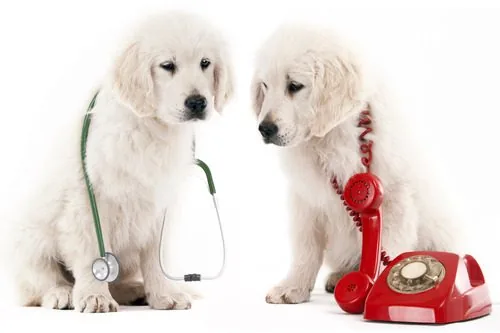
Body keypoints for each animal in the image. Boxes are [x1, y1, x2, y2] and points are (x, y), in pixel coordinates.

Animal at [11, 10, 234, 312]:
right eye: (167, 65)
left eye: (205, 63)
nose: (198, 102)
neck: (152, 128)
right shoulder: (86, 202)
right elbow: (90, 253)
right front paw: (94, 296)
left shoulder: (159, 206)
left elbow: (156, 259)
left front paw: (164, 294)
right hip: (31, 239)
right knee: (37, 284)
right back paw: (62, 294)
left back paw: (134, 290)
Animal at [252, 23, 458, 304]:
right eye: (265, 85)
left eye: (294, 86)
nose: (264, 129)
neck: (330, 136)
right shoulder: (306, 200)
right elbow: (306, 249)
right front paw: (293, 287)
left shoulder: (394, 199)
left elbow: (389, 248)